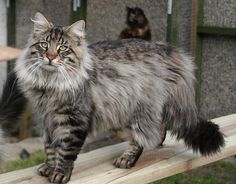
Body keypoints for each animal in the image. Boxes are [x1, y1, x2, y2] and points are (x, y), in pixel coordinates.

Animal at [0, 12, 225, 183]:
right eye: (44, 45)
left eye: (63, 48)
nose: (50, 57)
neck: (50, 84)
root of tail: (165, 48)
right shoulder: (47, 119)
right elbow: (50, 148)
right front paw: (48, 167)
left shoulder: (74, 120)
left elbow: (65, 151)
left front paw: (60, 174)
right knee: (158, 129)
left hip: (138, 110)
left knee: (141, 138)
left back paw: (127, 160)